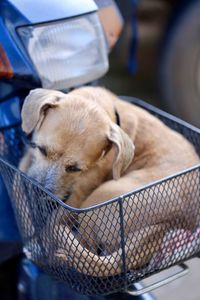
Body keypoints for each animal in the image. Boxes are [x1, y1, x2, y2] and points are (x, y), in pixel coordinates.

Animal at [19, 86, 199, 276]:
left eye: (75, 168)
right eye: (42, 149)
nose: (38, 190)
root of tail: (167, 225)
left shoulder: (77, 198)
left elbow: (52, 224)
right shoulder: (27, 162)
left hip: (96, 201)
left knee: (84, 247)